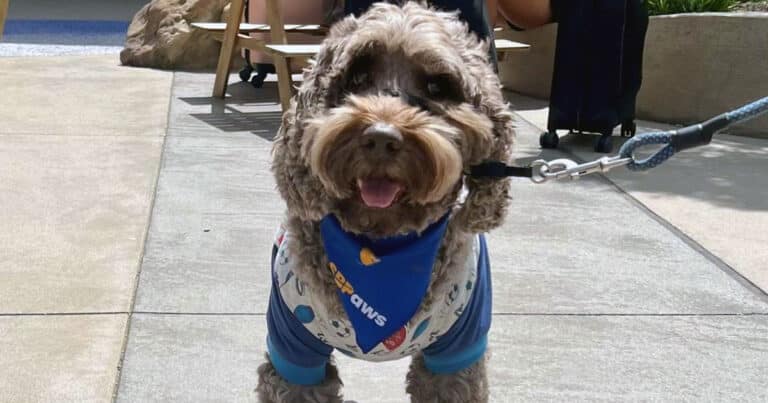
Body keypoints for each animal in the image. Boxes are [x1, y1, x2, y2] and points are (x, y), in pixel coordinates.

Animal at [258, 1, 516, 402]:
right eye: (357, 77)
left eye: (437, 86)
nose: (380, 138)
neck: (382, 249)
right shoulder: (293, 348)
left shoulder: (458, 351)